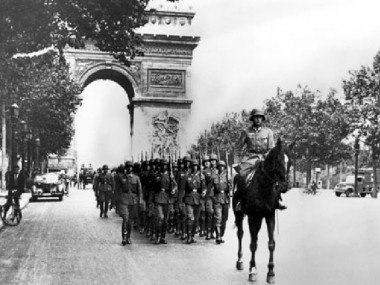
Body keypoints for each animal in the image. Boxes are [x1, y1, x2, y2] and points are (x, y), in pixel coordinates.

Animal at [232, 138, 294, 282]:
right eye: (278, 161)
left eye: (290, 162)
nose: (284, 186)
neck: (263, 186)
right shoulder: (252, 217)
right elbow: (253, 244)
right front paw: (253, 270)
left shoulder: (269, 215)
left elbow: (271, 243)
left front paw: (270, 273)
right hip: (238, 215)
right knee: (240, 234)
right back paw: (240, 261)